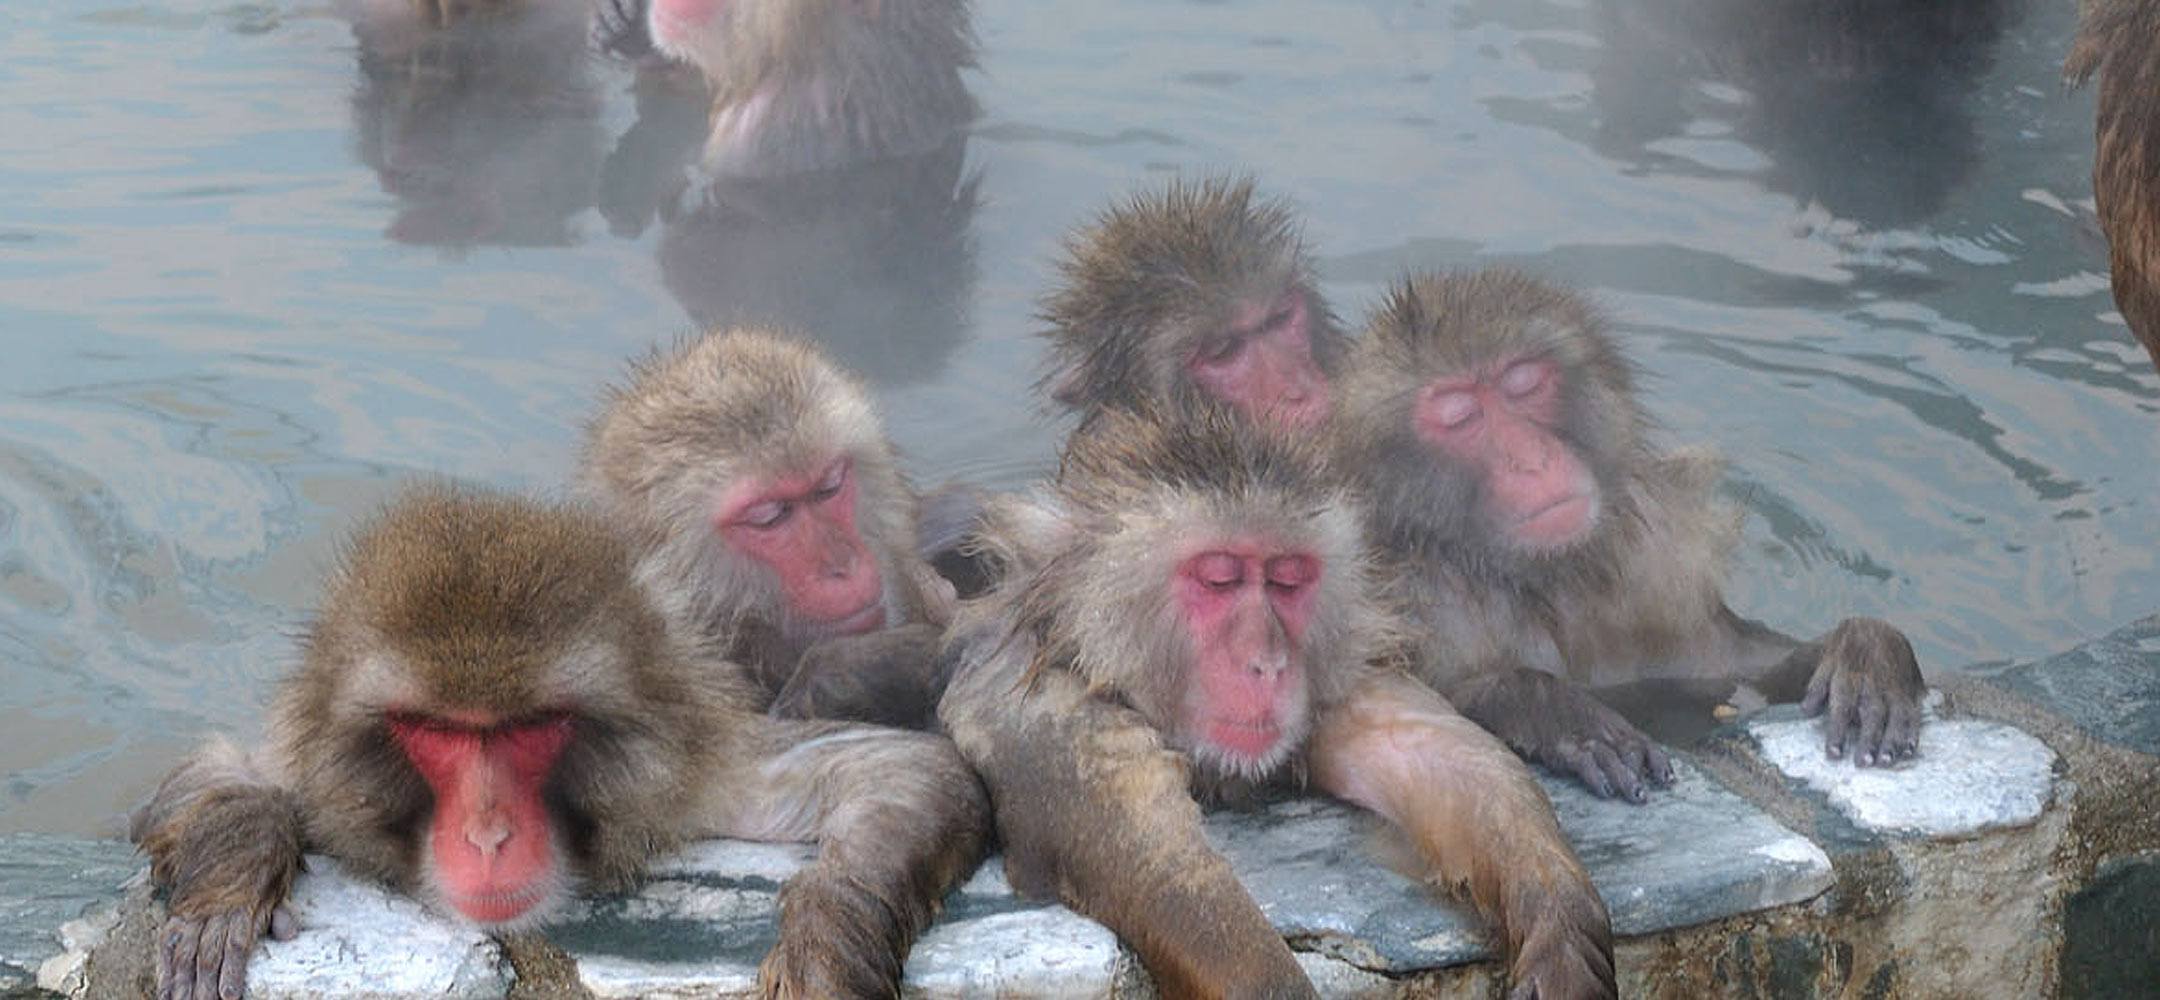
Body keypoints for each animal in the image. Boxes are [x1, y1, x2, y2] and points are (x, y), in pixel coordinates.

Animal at [126, 483, 989, 993]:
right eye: (434, 729)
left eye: (530, 727)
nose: (487, 834)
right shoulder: (312, 766)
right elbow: (208, 775)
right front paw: (229, 885)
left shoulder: (687, 771)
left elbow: (905, 767)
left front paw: (828, 939)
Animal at [937, 406, 1615, 1000]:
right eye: (1219, 577)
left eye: (1288, 579)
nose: (1266, 661)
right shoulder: (1047, 707)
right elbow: (1152, 858)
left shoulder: (1335, 667)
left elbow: (1438, 756)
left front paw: (1562, 930)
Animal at [1330, 269, 1926, 803]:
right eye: (1459, 416)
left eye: (1523, 383)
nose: (1530, 458)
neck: (1548, 580)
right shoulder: (1404, 599)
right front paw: (1549, 708)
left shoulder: (1658, 576)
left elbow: (1739, 671)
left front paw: (1865, 651)